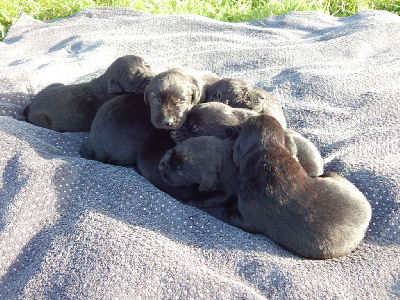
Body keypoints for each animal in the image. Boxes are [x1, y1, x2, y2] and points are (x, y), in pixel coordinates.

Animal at [23, 55, 155, 132]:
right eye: (135, 75)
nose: (152, 78)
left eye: (148, 66)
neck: (106, 82)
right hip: (40, 119)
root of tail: (30, 106)